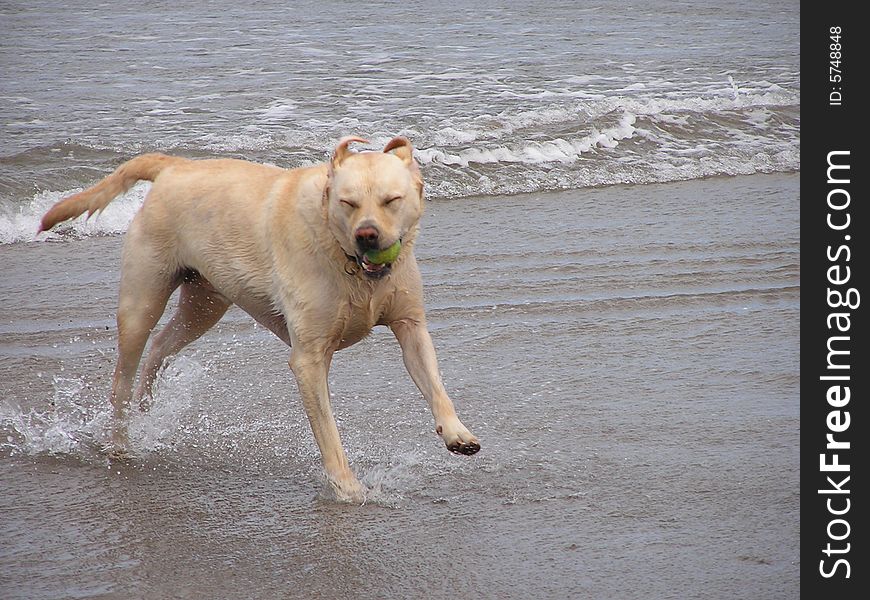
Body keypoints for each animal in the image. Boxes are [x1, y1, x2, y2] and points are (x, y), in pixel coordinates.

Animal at [37, 138, 480, 500]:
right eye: (348, 203)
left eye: (391, 200)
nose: (367, 235)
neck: (349, 264)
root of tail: (176, 165)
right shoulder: (309, 358)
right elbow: (328, 431)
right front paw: (346, 485)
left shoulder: (410, 326)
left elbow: (434, 383)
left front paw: (457, 432)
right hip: (142, 297)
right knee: (125, 373)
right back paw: (120, 440)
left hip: (205, 302)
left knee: (161, 347)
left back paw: (147, 407)